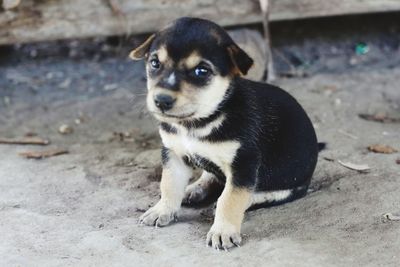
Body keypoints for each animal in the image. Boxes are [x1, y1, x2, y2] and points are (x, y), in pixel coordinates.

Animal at [131, 17, 318, 251]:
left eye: (201, 71)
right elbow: (169, 184)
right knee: (210, 175)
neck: (198, 122)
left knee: (260, 194)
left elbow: (229, 199)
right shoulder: (173, 153)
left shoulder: (243, 164)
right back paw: (195, 189)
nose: (162, 100)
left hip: (290, 184)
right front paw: (162, 209)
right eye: (155, 63)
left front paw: (223, 232)